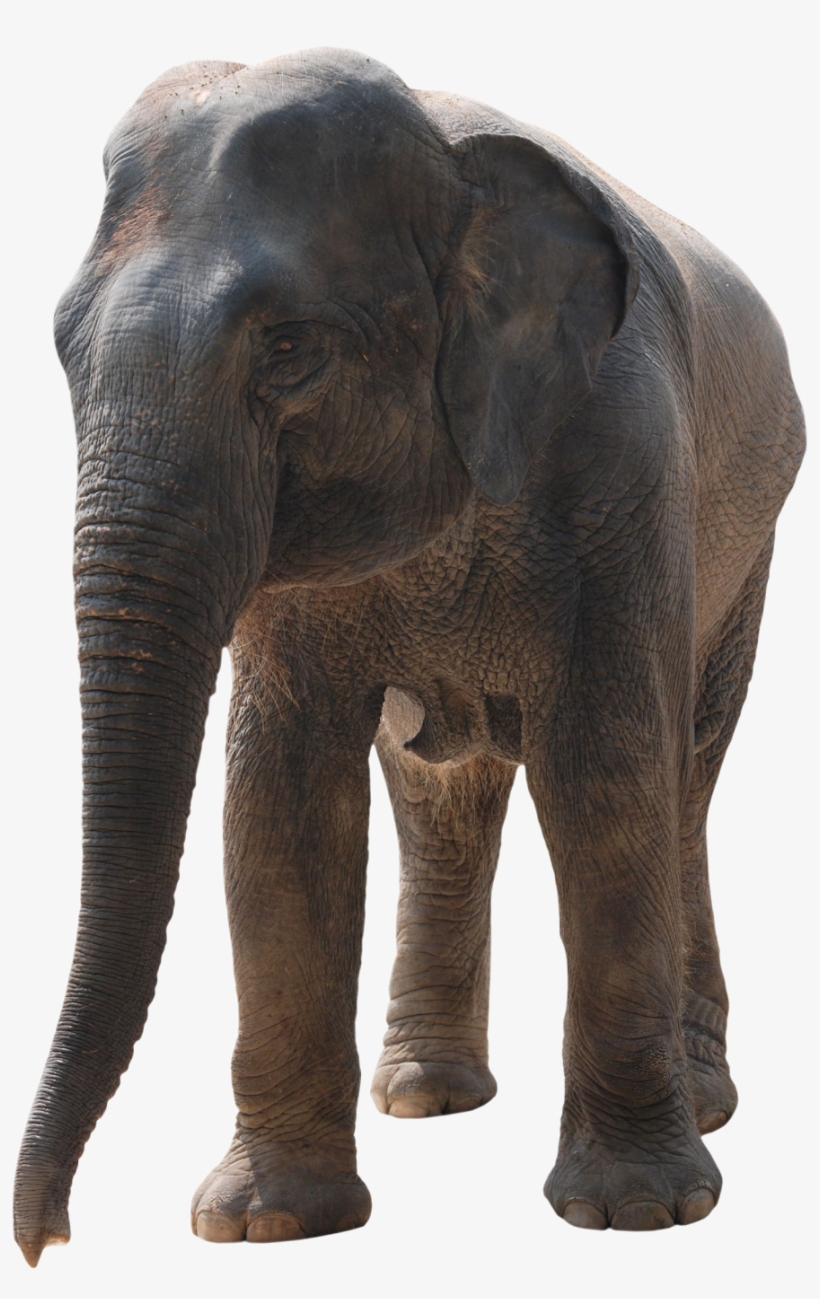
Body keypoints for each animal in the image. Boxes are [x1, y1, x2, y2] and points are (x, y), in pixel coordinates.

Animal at [13, 48, 805, 1264]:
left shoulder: (619, 463)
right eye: (61, 347)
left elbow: (608, 770)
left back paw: (703, 1103)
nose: (48, 1238)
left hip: (748, 541)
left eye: (290, 349)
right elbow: (279, 798)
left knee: (682, 782)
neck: (449, 160)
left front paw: (638, 1213)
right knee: (443, 789)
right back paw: (428, 1096)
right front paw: (262, 1223)